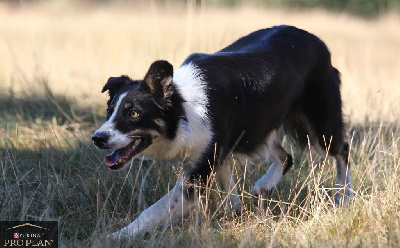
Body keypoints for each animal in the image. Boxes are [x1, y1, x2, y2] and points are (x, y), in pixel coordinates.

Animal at [92, 25, 352, 238]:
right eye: (110, 111)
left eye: (134, 113)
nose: (97, 139)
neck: (185, 110)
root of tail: (317, 41)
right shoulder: (217, 149)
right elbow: (229, 187)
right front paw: (235, 214)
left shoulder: (197, 174)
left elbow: (154, 211)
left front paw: (114, 237)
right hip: (259, 128)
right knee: (286, 156)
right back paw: (266, 184)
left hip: (321, 126)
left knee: (342, 149)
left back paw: (344, 195)